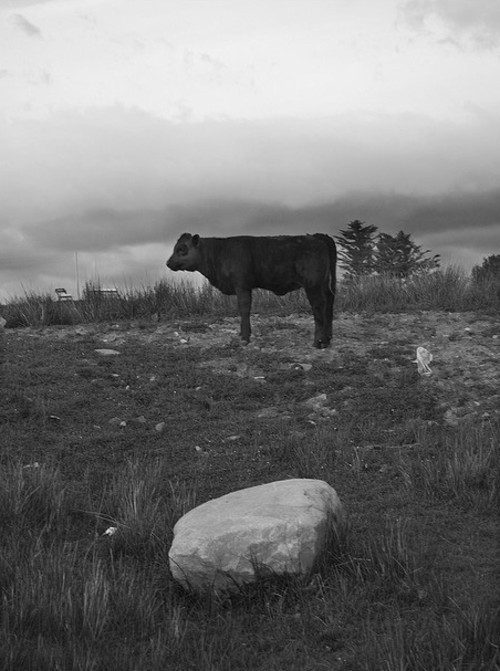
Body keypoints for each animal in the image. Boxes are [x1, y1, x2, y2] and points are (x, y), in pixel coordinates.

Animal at [167, 234, 336, 350]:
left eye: (182, 249)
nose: (168, 263)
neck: (220, 253)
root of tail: (317, 236)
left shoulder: (242, 286)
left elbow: (244, 309)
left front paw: (245, 337)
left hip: (313, 285)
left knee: (318, 307)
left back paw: (318, 342)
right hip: (324, 285)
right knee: (329, 304)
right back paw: (327, 339)